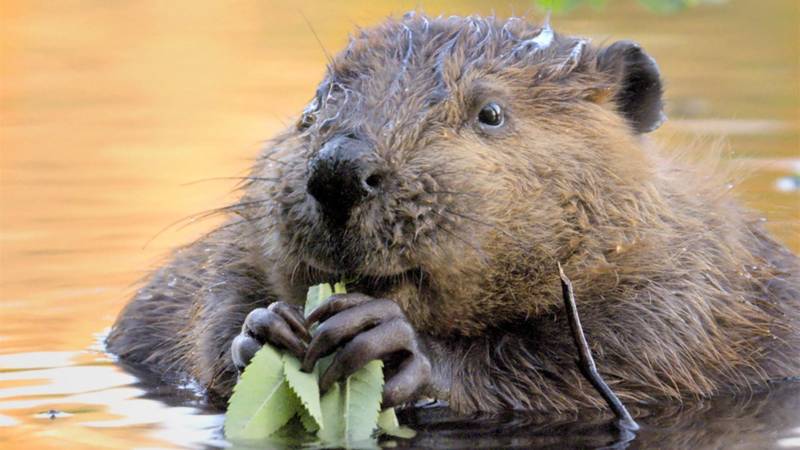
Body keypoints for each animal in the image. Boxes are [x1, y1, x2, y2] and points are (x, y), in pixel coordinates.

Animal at [106, 14, 800, 414]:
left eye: (490, 113)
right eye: (314, 105)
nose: (338, 170)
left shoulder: (690, 298)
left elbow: (591, 367)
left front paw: (390, 343)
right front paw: (261, 330)